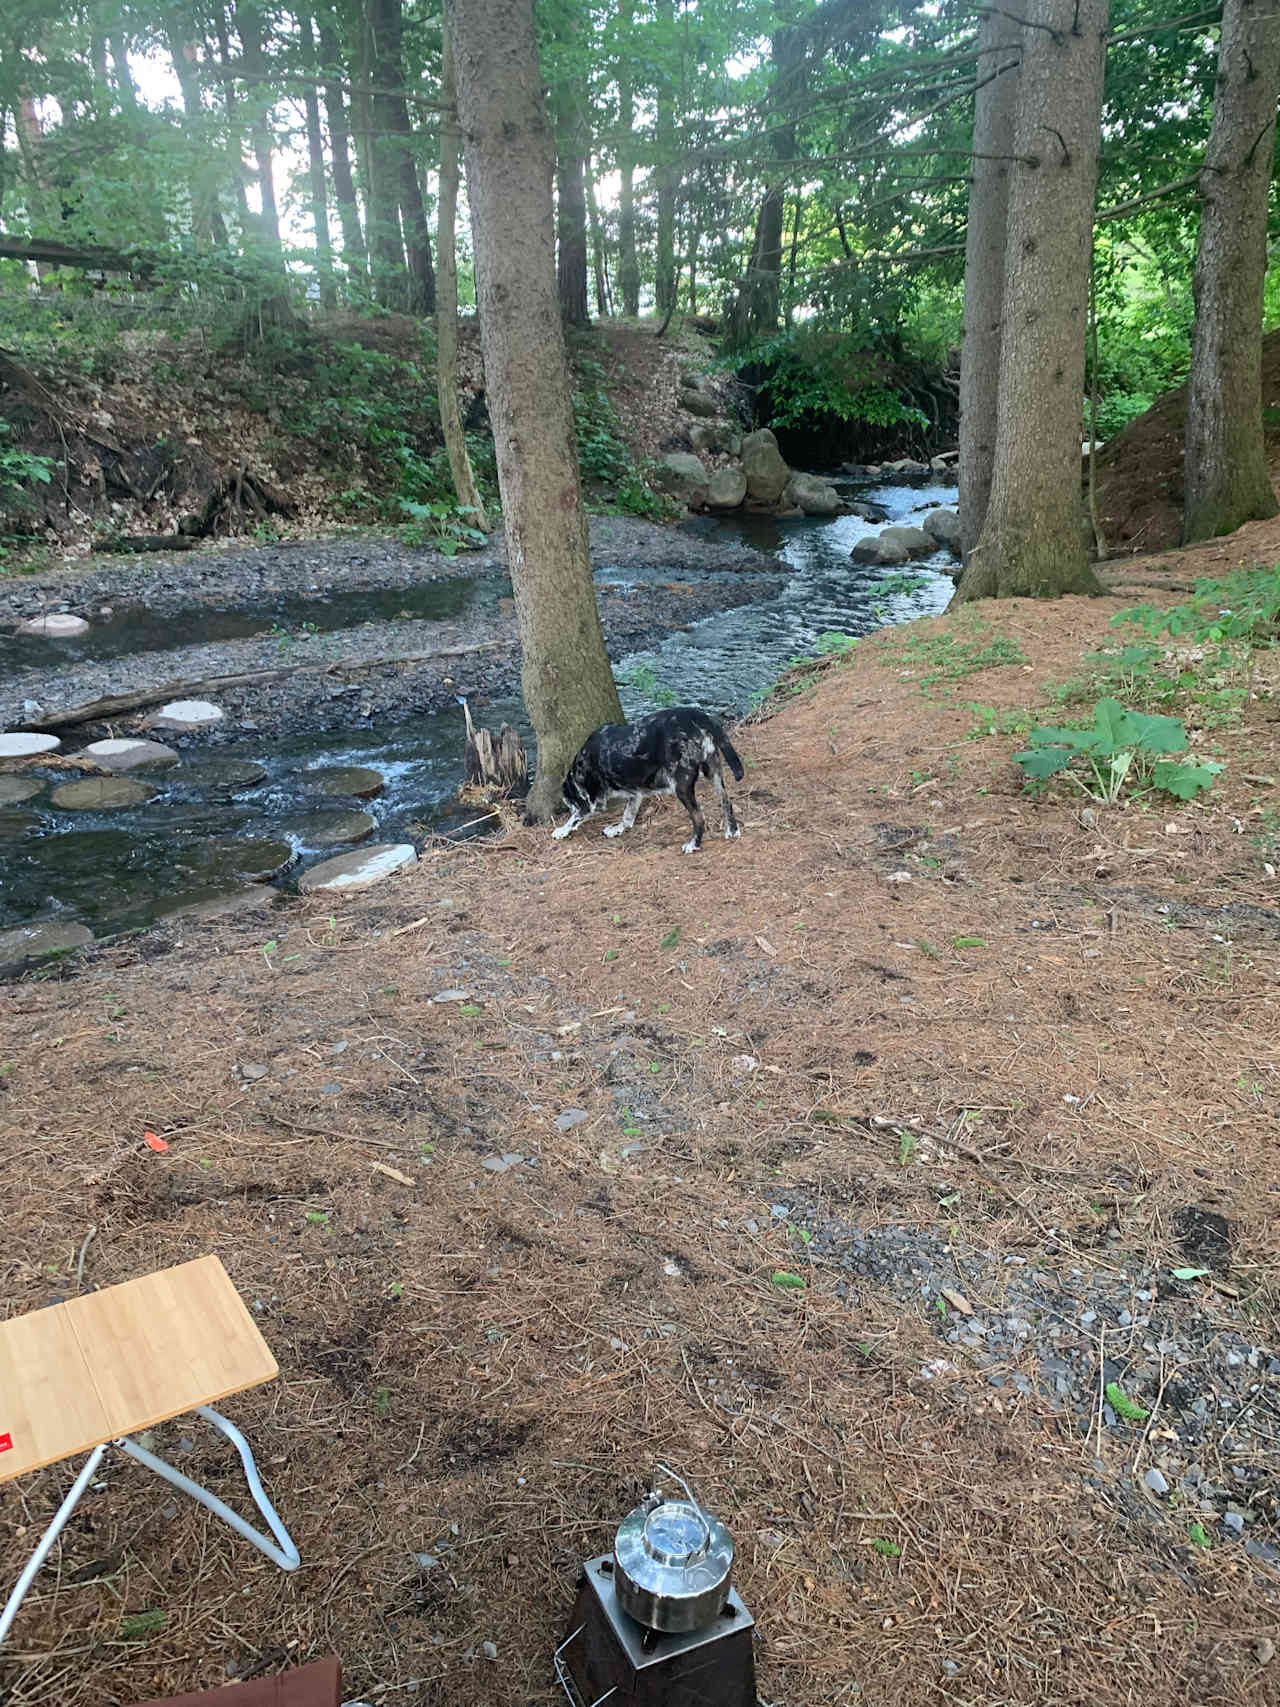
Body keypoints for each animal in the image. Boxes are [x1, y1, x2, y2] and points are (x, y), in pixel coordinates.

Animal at [556, 703, 747, 850]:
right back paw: (732, 830)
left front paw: (561, 830)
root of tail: (698, 715)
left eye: (569, 804)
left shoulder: (590, 803)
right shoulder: (636, 793)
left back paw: (694, 845)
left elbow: (574, 819)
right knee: (726, 800)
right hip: (713, 771)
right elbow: (628, 816)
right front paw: (618, 829)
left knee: (699, 818)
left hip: (682, 787)